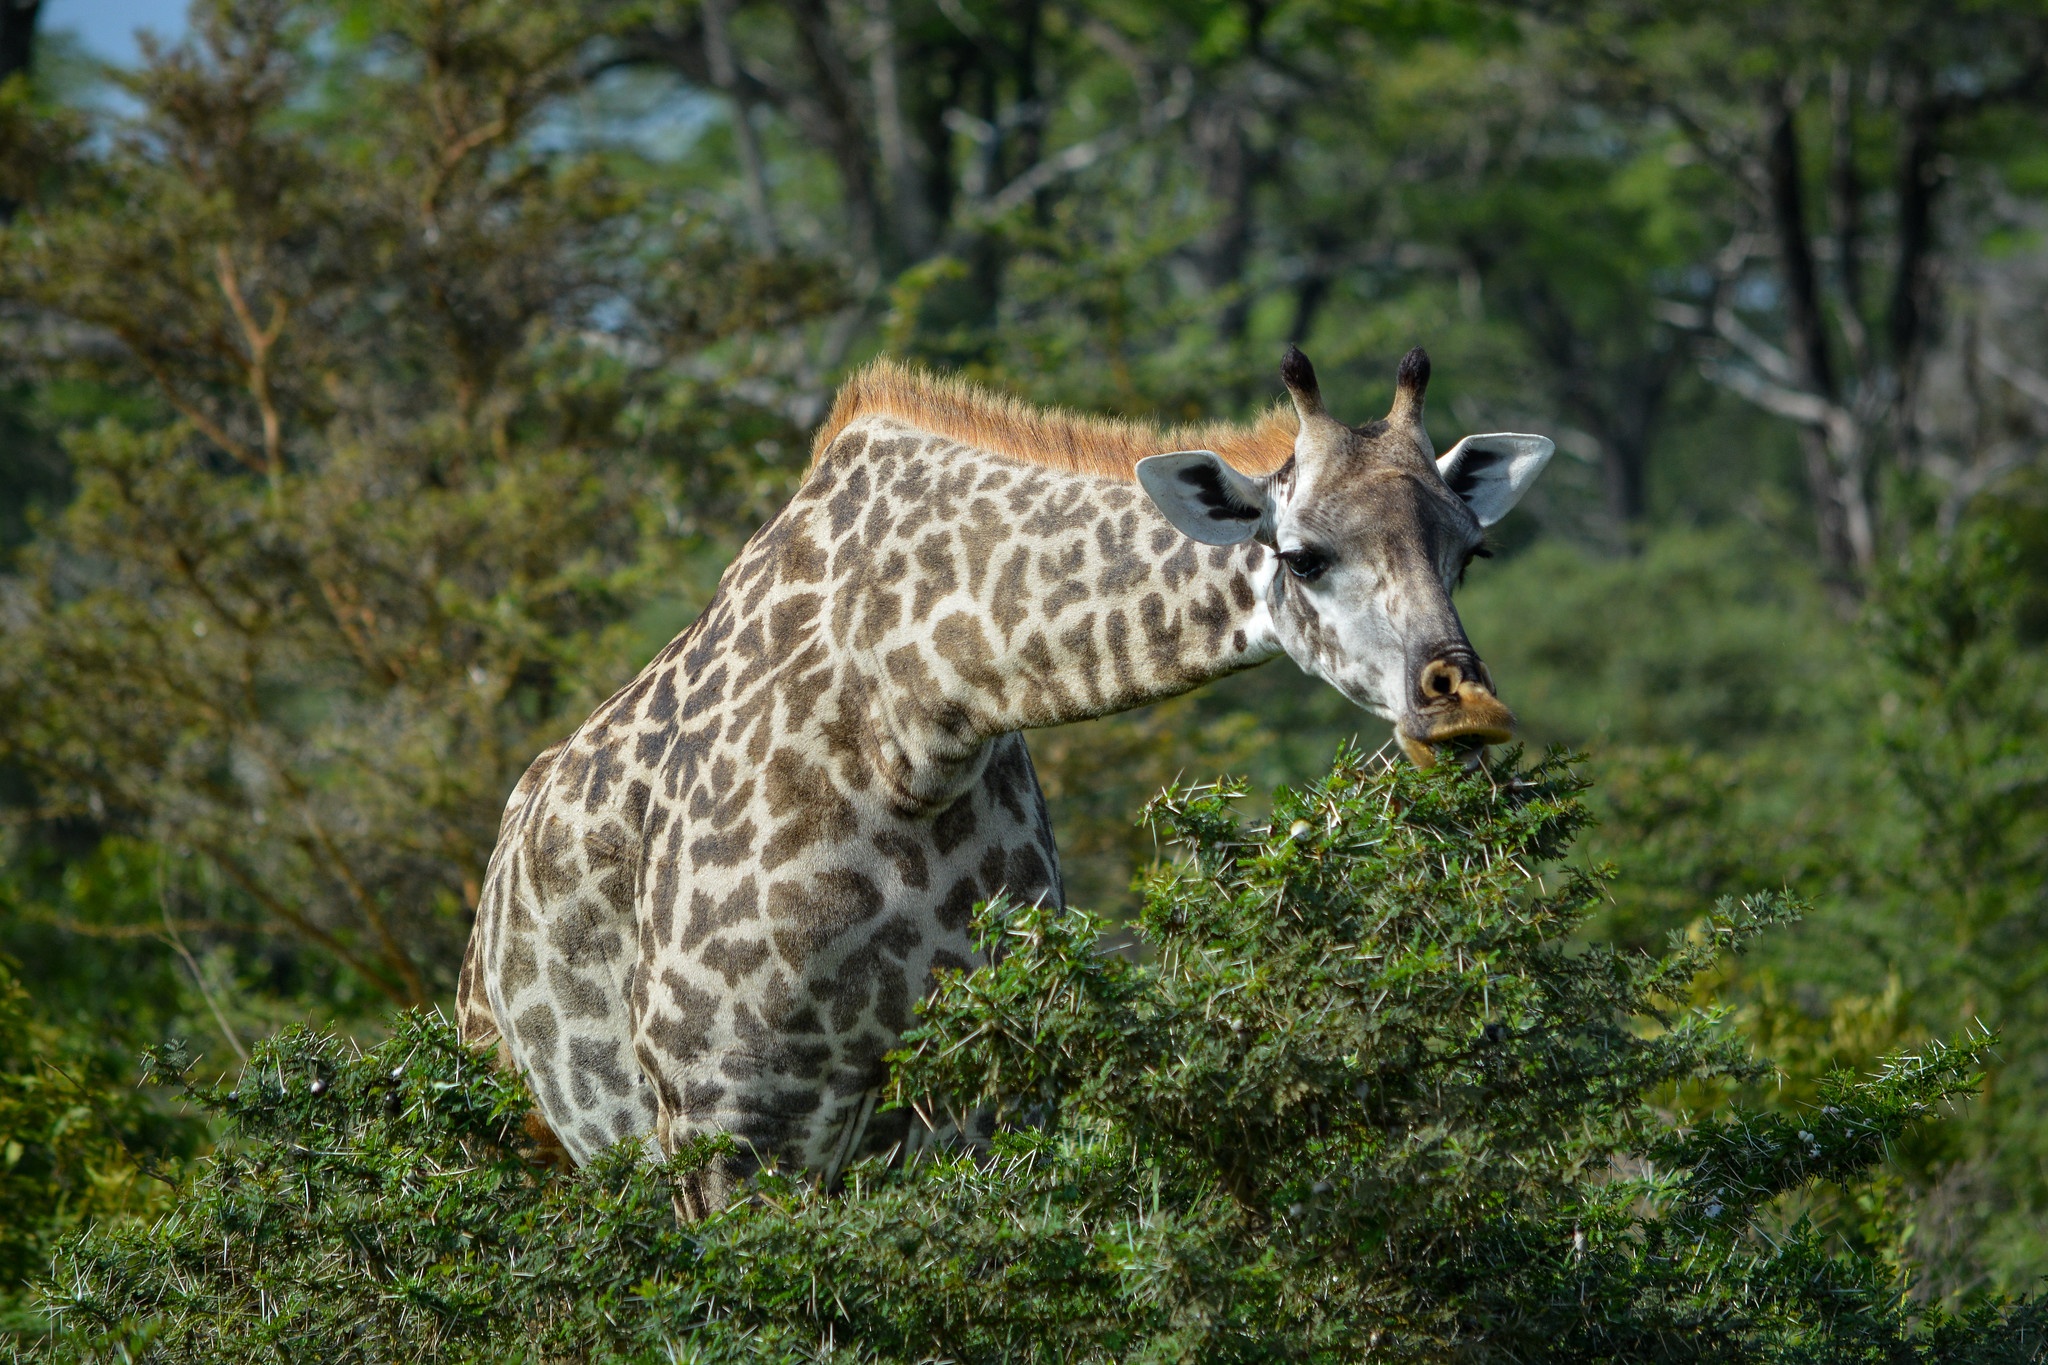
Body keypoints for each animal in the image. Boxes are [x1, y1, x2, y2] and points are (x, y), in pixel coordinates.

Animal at [460, 347, 1548, 1211]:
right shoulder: (729, 1116)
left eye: (1472, 549)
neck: (910, 722)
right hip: (533, 1138)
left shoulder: (982, 1101)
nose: (1463, 705)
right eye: (1303, 556)